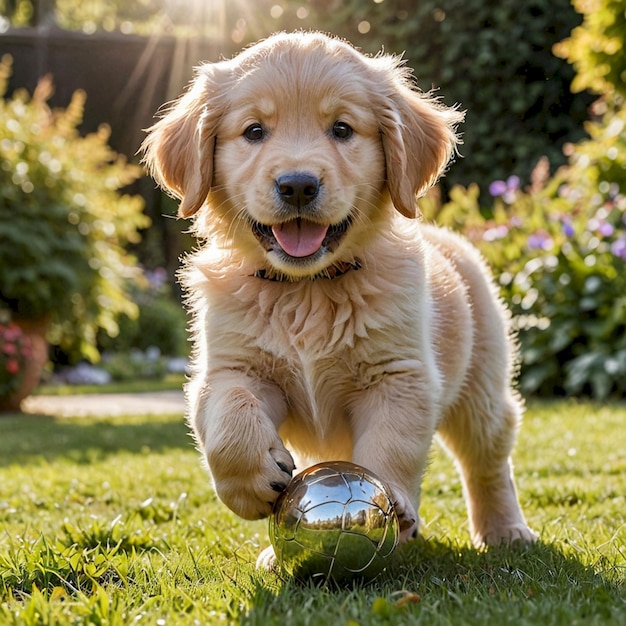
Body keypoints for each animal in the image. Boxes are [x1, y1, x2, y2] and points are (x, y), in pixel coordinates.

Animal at [140, 30, 532, 564]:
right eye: (254, 131)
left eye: (342, 129)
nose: (298, 186)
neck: (305, 289)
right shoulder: (231, 366)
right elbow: (227, 417)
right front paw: (251, 482)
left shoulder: (399, 375)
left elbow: (392, 445)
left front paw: (388, 508)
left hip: (482, 390)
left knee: (488, 462)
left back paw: (505, 529)